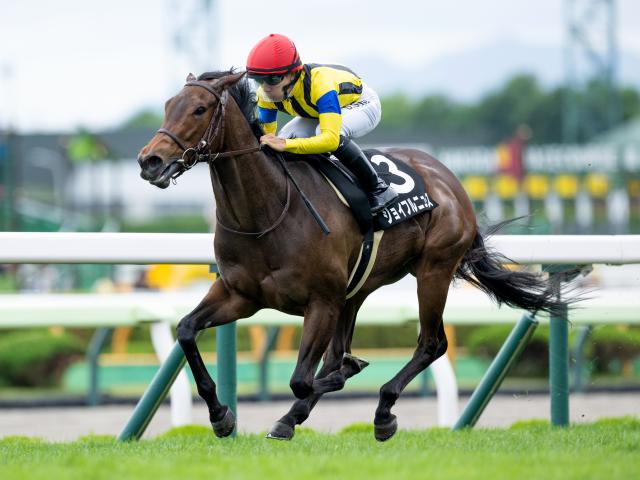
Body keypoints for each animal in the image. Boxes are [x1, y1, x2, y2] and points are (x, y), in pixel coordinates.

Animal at [137, 70, 562, 441]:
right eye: (168, 105)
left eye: (199, 109)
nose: (149, 161)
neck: (268, 212)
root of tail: (450, 180)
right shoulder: (239, 295)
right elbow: (186, 330)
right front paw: (220, 415)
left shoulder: (321, 301)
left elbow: (302, 380)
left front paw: (348, 373)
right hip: (358, 288)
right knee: (346, 351)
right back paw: (294, 417)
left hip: (433, 270)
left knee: (431, 343)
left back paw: (382, 411)